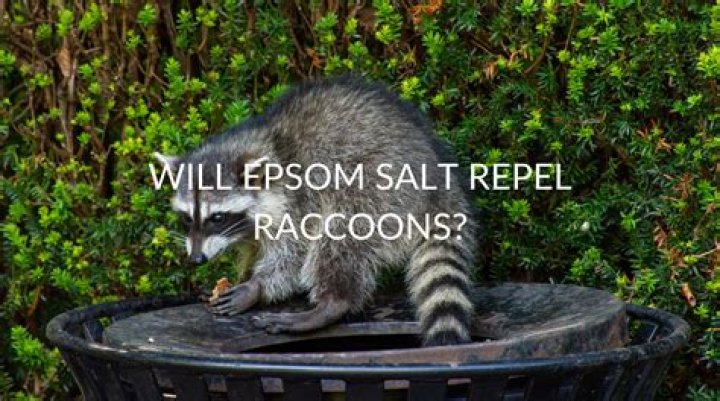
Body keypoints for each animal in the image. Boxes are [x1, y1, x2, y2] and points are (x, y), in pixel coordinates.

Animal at [155, 76, 478, 346]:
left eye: (217, 218)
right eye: (187, 218)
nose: (196, 259)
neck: (267, 145)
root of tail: (440, 181)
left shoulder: (298, 197)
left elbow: (293, 252)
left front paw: (257, 286)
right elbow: (253, 248)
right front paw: (243, 275)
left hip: (381, 188)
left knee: (341, 235)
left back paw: (331, 303)